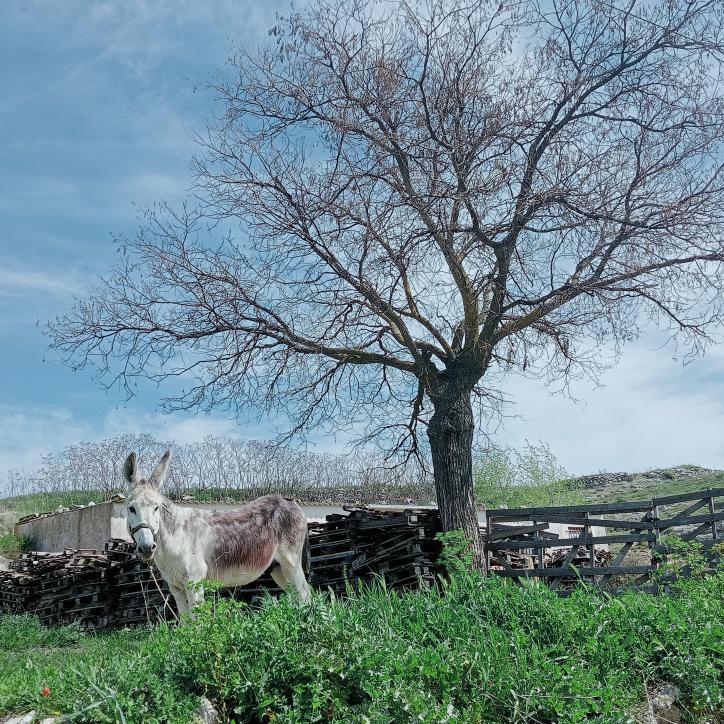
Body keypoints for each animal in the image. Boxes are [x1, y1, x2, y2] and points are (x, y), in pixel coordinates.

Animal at [122, 450, 311, 614]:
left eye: (156, 508)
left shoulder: (194, 583)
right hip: (278, 568)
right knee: (298, 595)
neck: (176, 538)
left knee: (305, 594)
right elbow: (185, 623)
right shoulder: (175, 588)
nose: (147, 547)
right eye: (131, 508)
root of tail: (290, 501)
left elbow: (197, 621)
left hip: (291, 563)